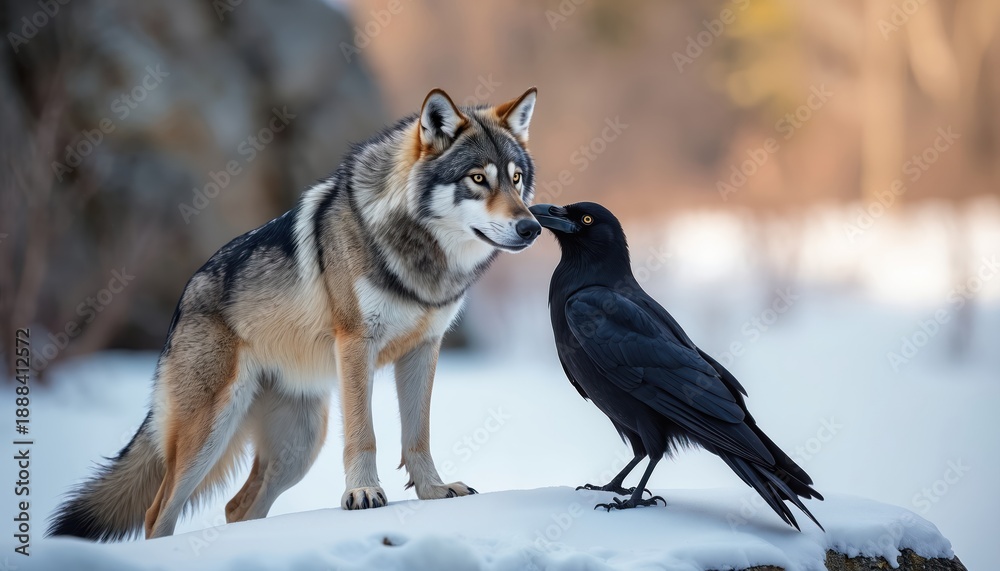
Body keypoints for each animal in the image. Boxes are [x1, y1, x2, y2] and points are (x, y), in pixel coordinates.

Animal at [48, 87, 541, 540]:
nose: (532, 227)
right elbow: (364, 434)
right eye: (477, 178)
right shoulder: (356, 344)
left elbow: (418, 435)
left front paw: (434, 491)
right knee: (156, 515)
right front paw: (363, 494)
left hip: (299, 447)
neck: (418, 257)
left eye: (516, 179)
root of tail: (183, 300)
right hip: (210, 434)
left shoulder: (424, 349)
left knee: (235, 507)